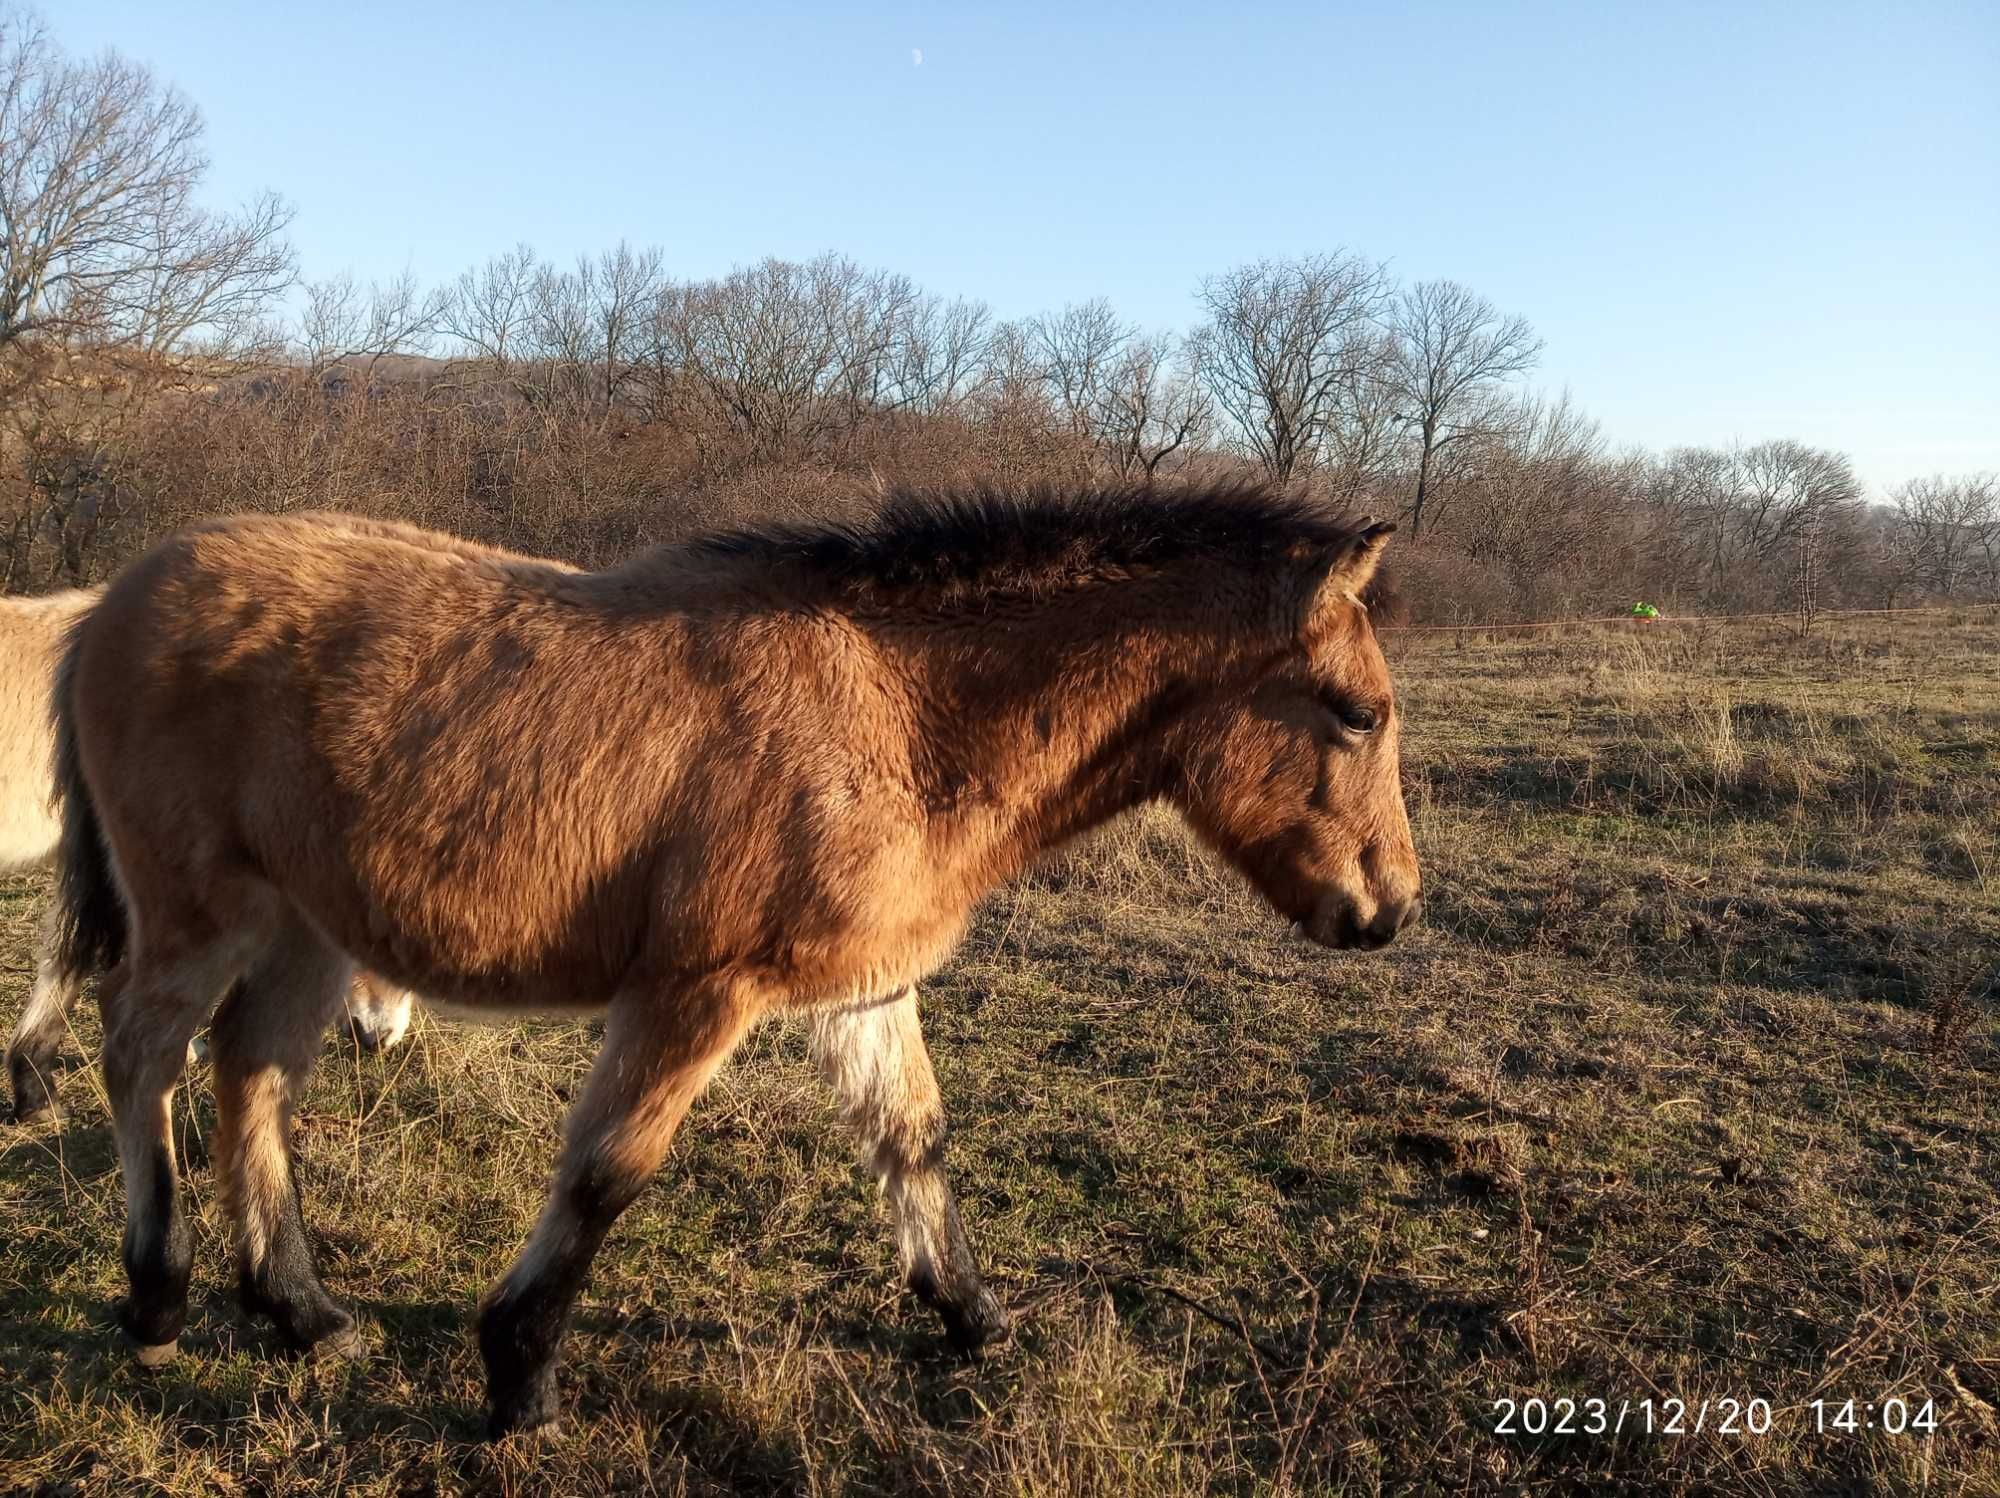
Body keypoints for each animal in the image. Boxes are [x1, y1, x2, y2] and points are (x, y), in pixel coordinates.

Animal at [47, 486, 1424, 1432]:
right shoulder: (697, 994)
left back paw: (299, 1313)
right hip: (201, 915)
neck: (893, 710)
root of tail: (110, 602)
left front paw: (970, 1316)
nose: (1390, 910)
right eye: (1357, 713)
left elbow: (912, 1136)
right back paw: (157, 1300)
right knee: (140, 1056)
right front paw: (517, 1377)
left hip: (303, 929)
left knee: (249, 1073)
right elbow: (607, 1172)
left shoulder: (867, 990)